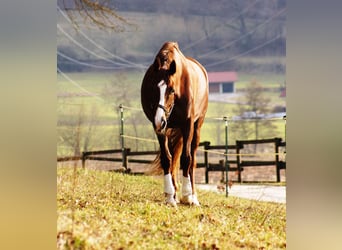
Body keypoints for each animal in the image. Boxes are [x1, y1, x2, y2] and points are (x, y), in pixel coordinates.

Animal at [141, 42, 208, 206]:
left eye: (171, 90)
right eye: (153, 89)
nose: (160, 120)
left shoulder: (188, 125)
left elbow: (186, 159)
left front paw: (187, 194)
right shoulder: (160, 129)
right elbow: (167, 159)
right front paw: (170, 196)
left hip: (197, 126)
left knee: (192, 159)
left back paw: (193, 196)